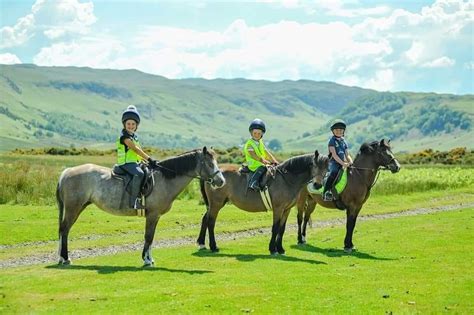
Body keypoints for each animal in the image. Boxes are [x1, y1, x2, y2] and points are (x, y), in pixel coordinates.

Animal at [55, 148, 226, 266]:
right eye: (210, 163)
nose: (221, 181)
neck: (164, 179)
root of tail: (67, 171)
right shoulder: (152, 215)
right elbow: (148, 237)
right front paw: (147, 260)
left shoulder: (155, 216)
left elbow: (151, 237)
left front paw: (149, 258)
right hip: (73, 208)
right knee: (65, 230)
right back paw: (65, 258)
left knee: (63, 230)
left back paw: (61, 257)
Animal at [198, 151, 328, 256]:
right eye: (314, 165)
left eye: (326, 168)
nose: (317, 185)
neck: (287, 179)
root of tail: (212, 176)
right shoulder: (278, 209)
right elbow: (275, 228)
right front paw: (273, 249)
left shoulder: (287, 209)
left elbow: (282, 229)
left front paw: (280, 249)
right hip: (216, 204)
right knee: (211, 222)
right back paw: (213, 246)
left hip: (214, 204)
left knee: (205, 219)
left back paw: (201, 243)